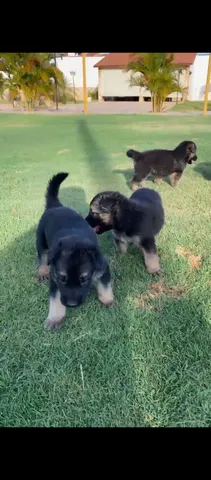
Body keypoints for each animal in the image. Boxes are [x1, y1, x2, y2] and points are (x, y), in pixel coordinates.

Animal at [36, 172, 113, 330]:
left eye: (84, 279)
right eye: (62, 279)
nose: (72, 305)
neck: (75, 240)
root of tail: (56, 205)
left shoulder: (103, 268)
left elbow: (105, 285)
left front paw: (107, 300)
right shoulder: (55, 278)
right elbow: (55, 299)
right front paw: (55, 318)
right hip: (40, 241)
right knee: (42, 256)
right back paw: (42, 271)